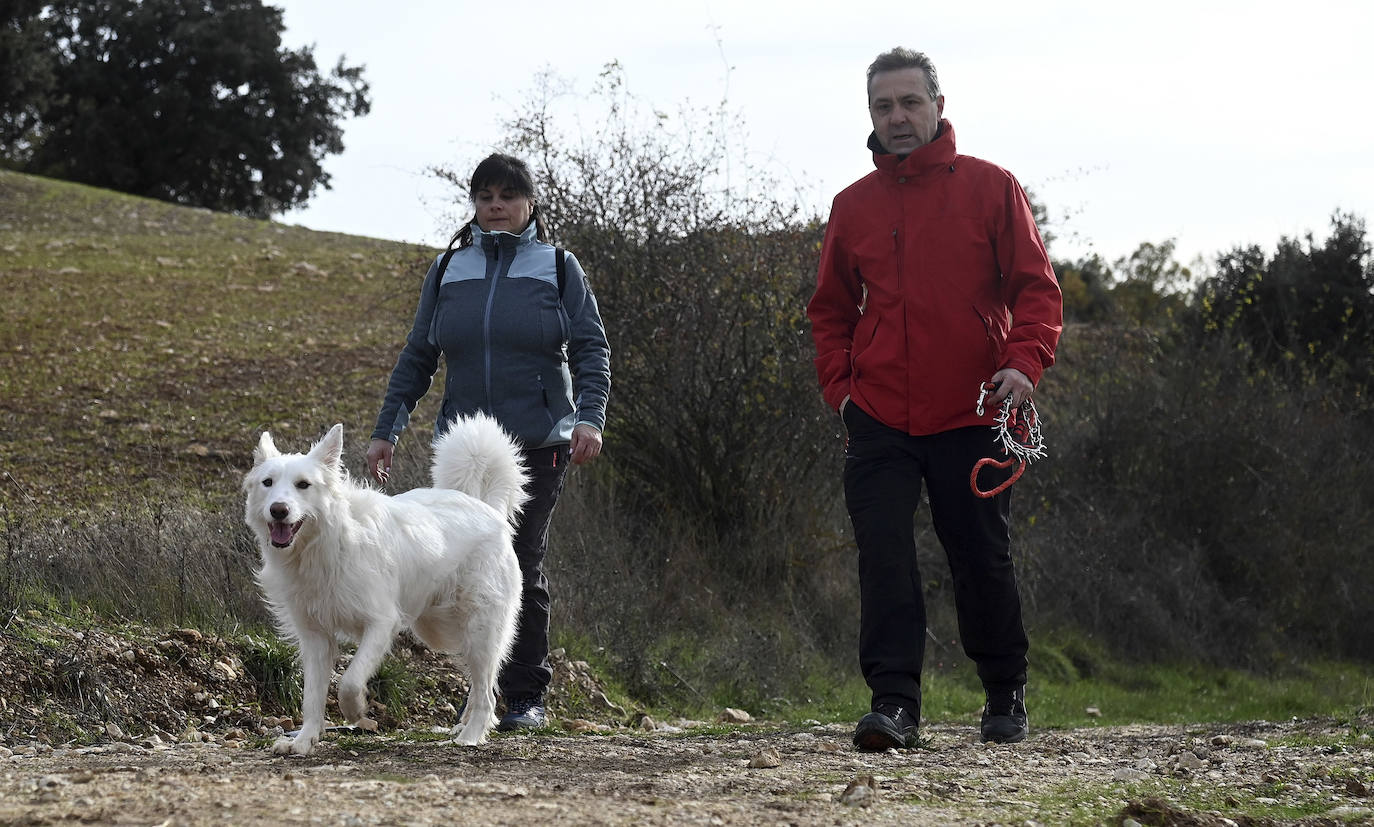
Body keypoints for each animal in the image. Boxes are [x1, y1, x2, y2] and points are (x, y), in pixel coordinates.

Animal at [241, 412, 524, 752]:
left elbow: (349, 681)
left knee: (487, 694)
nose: (278, 510)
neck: (325, 544)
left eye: (303, 485)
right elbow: (312, 696)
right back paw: (465, 727)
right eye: (268, 483)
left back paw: (470, 737)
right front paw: (305, 739)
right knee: (482, 687)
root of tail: (489, 511)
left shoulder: (380, 623)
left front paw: (354, 711)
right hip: (446, 630)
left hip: (479, 630)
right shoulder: (315, 636)